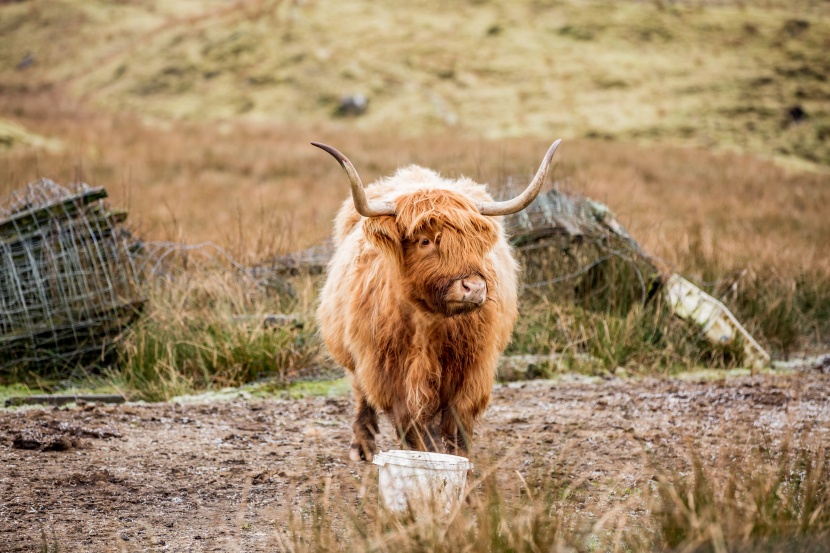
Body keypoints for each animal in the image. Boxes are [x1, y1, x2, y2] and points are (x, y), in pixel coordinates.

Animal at [316, 140, 564, 460]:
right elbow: (411, 429)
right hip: (353, 358)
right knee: (361, 396)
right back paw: (362, 448)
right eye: (425, 240)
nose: (474, 287)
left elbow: (457, 426)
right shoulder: (388, 376)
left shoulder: (472, 372)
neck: (428, 323)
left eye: (476, 242)